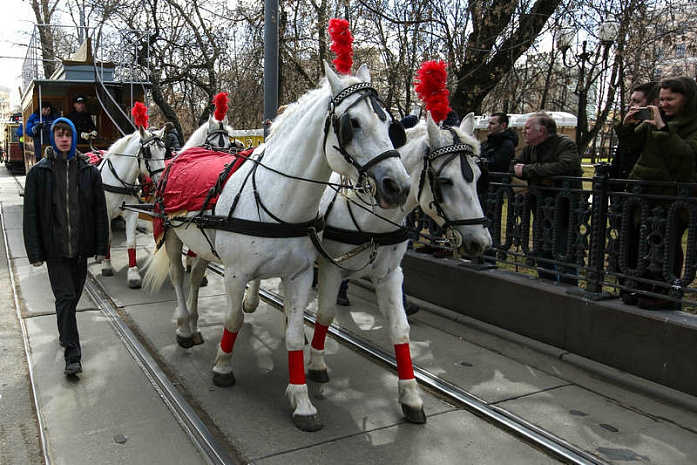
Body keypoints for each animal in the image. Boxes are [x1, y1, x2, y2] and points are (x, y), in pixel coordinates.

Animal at [96, 102, 167, 286]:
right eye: (148, 152)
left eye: (164, 152)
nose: (162, 179)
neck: (118, 180)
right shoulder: (105, 213)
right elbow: (108, 237)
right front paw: (106, 264)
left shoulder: (131, 212)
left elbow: (131, 242)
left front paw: (133, 273)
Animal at [144, 18, 410, 432]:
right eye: (351, 124)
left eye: (388, 123)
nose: (397, 186)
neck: (278, 200)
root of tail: (183, 152)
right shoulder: (236, 273)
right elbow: (234, 317)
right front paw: (223, 368)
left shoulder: (299, 275)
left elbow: (295, 335)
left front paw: (302, 401)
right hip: (170, 236)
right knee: (176, 275)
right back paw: (185, 326)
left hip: (204, 244)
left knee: (196, 273)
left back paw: (195, 321)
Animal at [242, 60, 492, 424]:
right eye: (445, 180)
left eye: (478, 176)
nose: (480, 242)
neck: (370, 216)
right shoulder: (331, 268)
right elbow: (326, 313)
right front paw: (316, 364)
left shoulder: (390, 274)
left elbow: (400, 329)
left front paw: (411, 397)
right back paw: (251, 300)